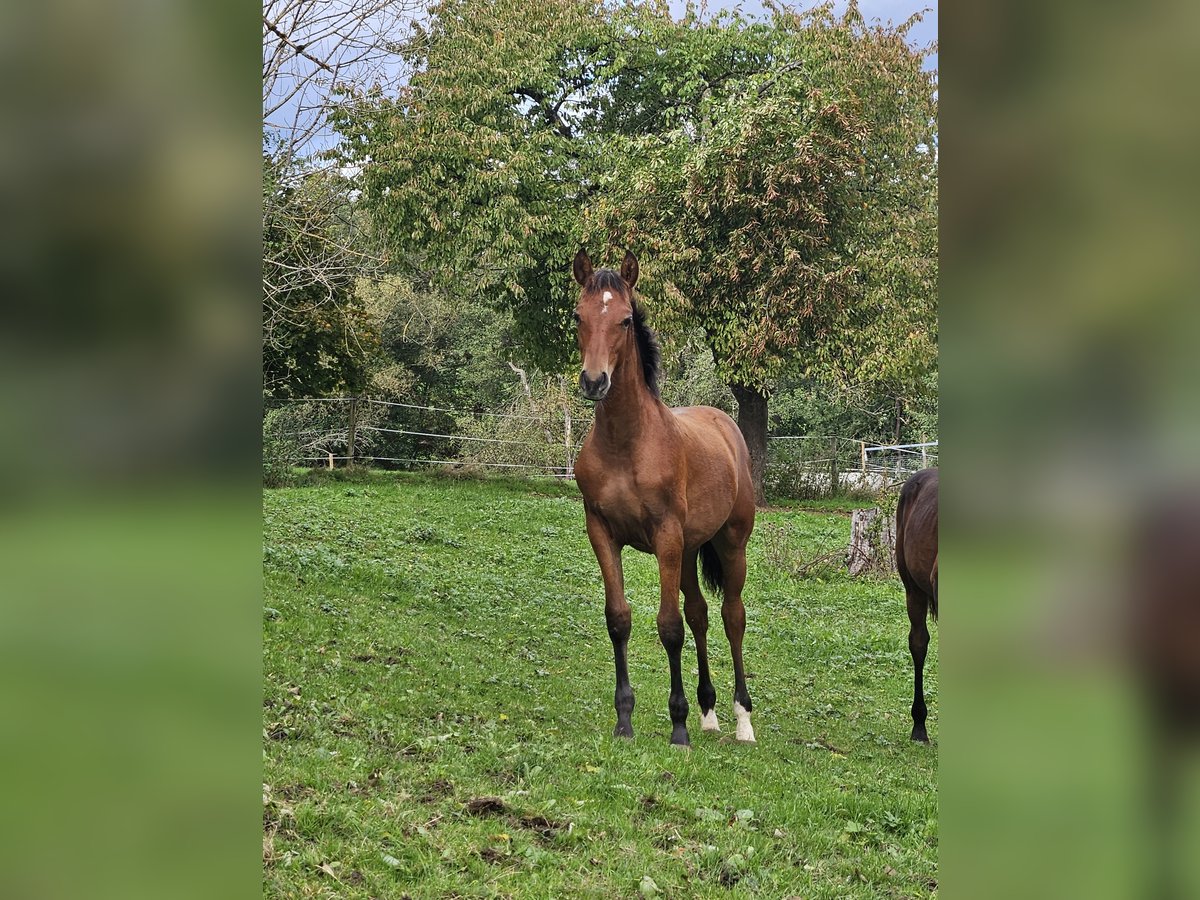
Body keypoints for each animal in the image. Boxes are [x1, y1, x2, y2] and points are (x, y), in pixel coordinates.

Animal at [566, 250, 753, 748]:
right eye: (578, 316)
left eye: (626, 319)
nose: (594, 381)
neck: (627, 443)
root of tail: (724, 423)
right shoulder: (602, 532)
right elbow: (619, 619)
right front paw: (625, 721)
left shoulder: (665, 536)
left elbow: (669, 627)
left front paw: (678, 726)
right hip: (688, 551)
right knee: (700, 614)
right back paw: (709, 713)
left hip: (730, 545)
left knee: (732, 617)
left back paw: (742, 720)